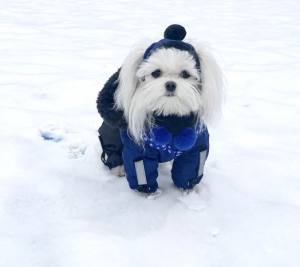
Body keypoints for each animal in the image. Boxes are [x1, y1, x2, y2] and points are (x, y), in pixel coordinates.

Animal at [96, 24, 223, 194]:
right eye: (156, 73)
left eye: (185, 74)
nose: (170, 84)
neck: (170, 117)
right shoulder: (137, 149)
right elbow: (142, 170)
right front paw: (150, 194)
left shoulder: (196, 147)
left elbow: (188, 170)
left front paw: (187, 190)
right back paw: (119, 168)